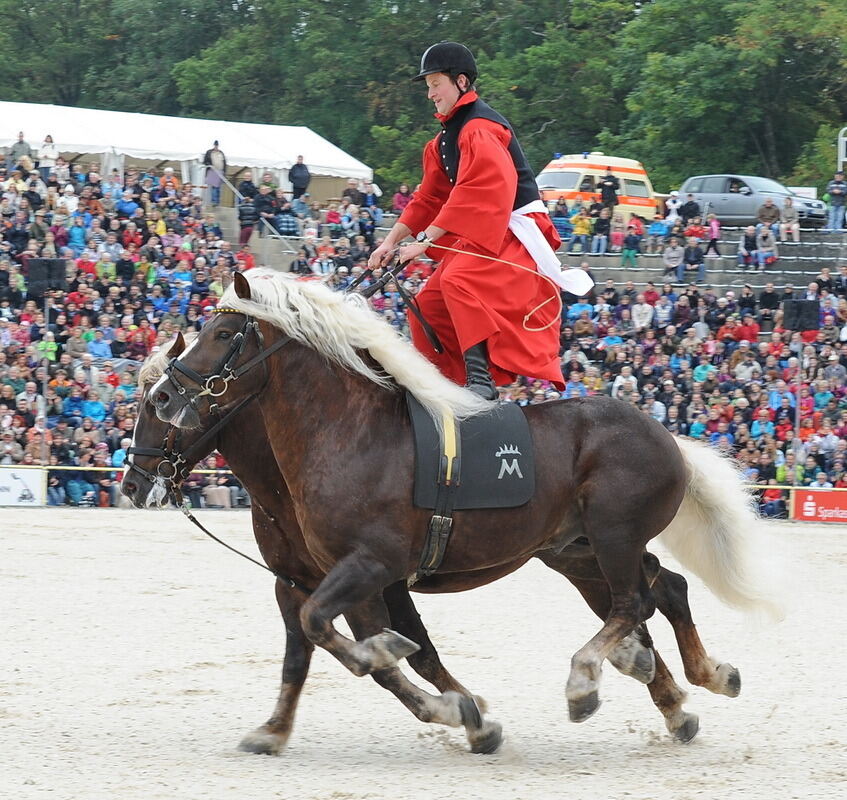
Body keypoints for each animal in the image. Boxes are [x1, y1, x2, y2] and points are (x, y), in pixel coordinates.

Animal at [149, 272, 780, 748]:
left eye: (223, 332)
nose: (163, 395)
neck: (347, 434)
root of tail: (666, 435)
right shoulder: (318, 578)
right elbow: (320, 646)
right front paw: (277, 728)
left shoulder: (370, 566)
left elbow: (339, 634)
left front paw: (450, 703)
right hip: (579, 550)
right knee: (663, 589)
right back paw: (691, 684)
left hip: (613, 535)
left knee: (634, 603)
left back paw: (590, 680)